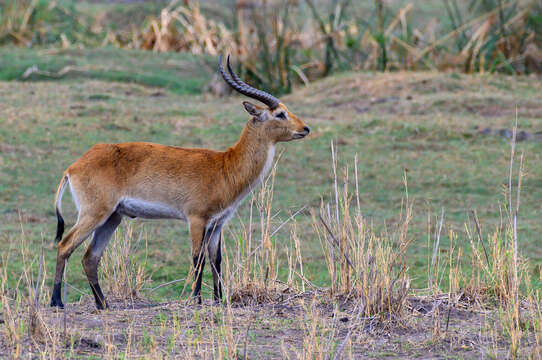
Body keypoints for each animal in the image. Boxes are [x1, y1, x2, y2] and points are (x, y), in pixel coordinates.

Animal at [50, 55, 310, 310]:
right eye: (280, 114)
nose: (305, 128)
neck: (225, 166)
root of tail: (73, 167)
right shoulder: (196, 219)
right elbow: (198, 258)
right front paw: (197, 300)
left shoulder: (217, 224)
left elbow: (216, 260)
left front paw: (220, 300)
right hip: (95, 213)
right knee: (64, 246)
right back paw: (57, 302)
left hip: (113, 217)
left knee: (90, 257)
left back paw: (102, 304)